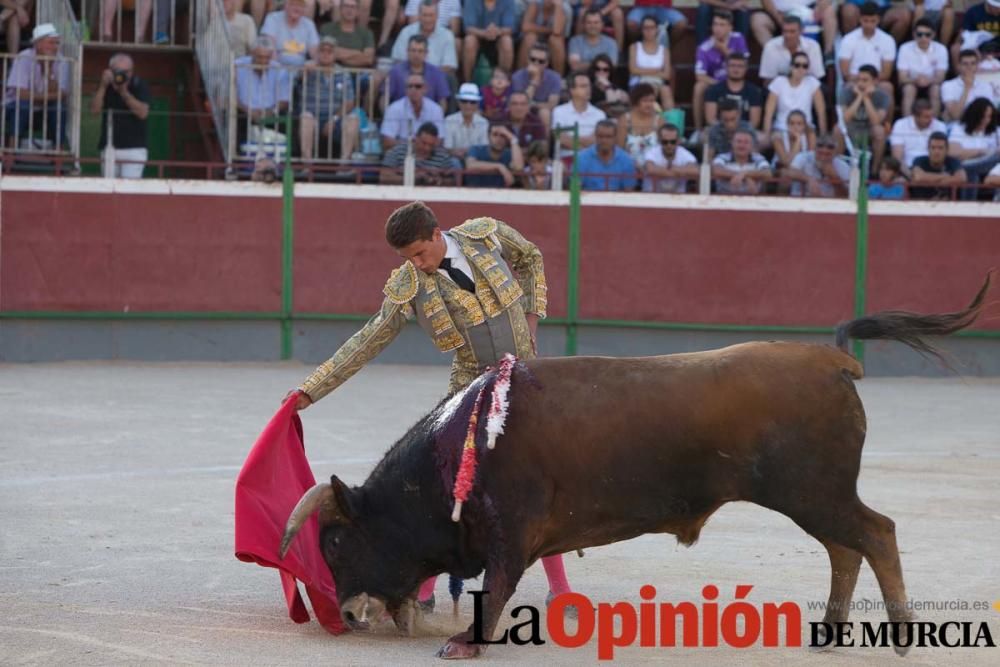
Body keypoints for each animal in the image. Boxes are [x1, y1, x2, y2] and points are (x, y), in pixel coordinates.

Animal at [280, 272, 992, 656]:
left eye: (336, 541)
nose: (345, 615)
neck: (459, 446)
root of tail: (831, 359)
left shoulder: (511, 531)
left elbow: (500, 584)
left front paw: (466, 642)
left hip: (816, 491)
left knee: (876, 533)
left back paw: (898, 636)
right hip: (813, 497)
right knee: (846, 548)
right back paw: (829, 632)